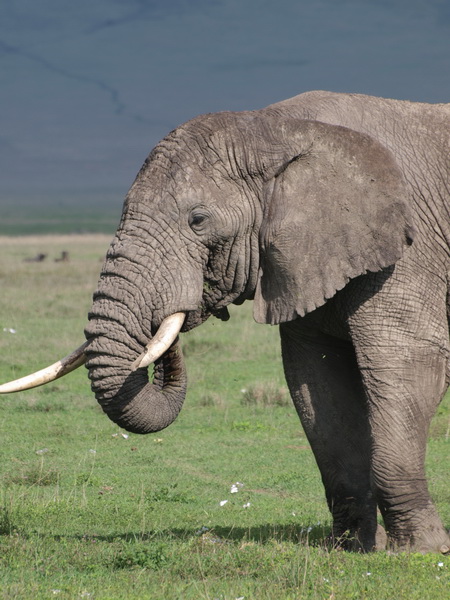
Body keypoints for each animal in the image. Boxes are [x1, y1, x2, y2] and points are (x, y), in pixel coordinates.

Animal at [0, 91, 450, 556]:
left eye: (198, 220)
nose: (166, 335)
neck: (277, 129)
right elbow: (316, 386)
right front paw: (348, 548)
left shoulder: (407, 253)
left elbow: (408, 366)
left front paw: (420, 551)